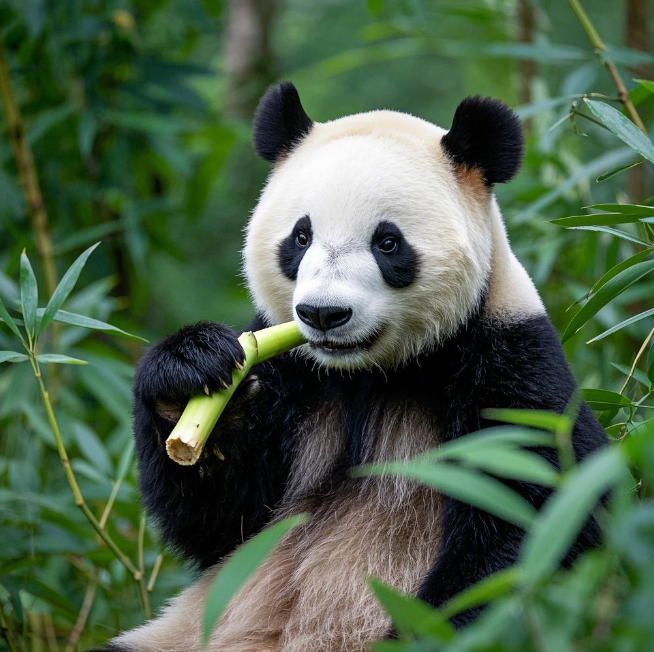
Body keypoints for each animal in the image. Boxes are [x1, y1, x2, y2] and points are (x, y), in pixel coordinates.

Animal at [97, 81, 608, 652]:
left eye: (387, 242)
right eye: (300, 237)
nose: (323, 313)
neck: (369, 372)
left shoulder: (508, 364)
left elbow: (532, 515)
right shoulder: (292, 376)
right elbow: (223, 521)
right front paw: (191, 371)